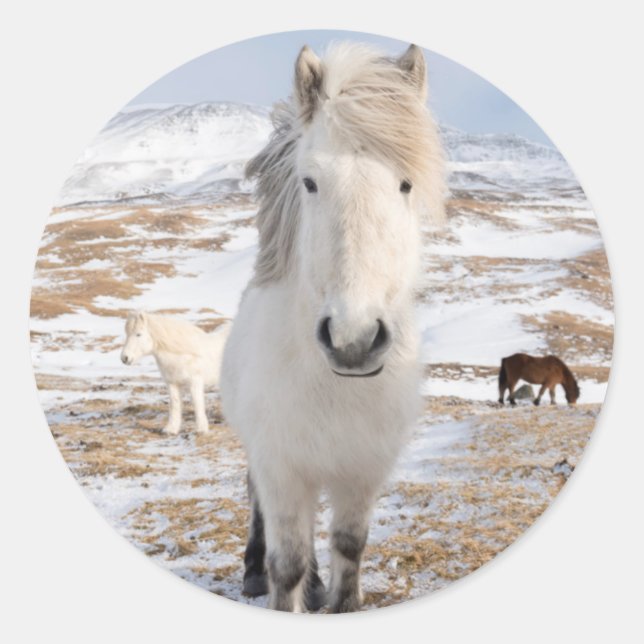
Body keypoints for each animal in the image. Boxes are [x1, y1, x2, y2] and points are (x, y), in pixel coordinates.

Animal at [219, 42, 446, 612]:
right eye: (310, 182)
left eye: (405, 183)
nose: (354, 339)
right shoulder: (281, 468)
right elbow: (287, 565)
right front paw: (280, 585)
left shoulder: (362, 472)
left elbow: (348, 545)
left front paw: (339, 598)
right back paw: (253, 572)